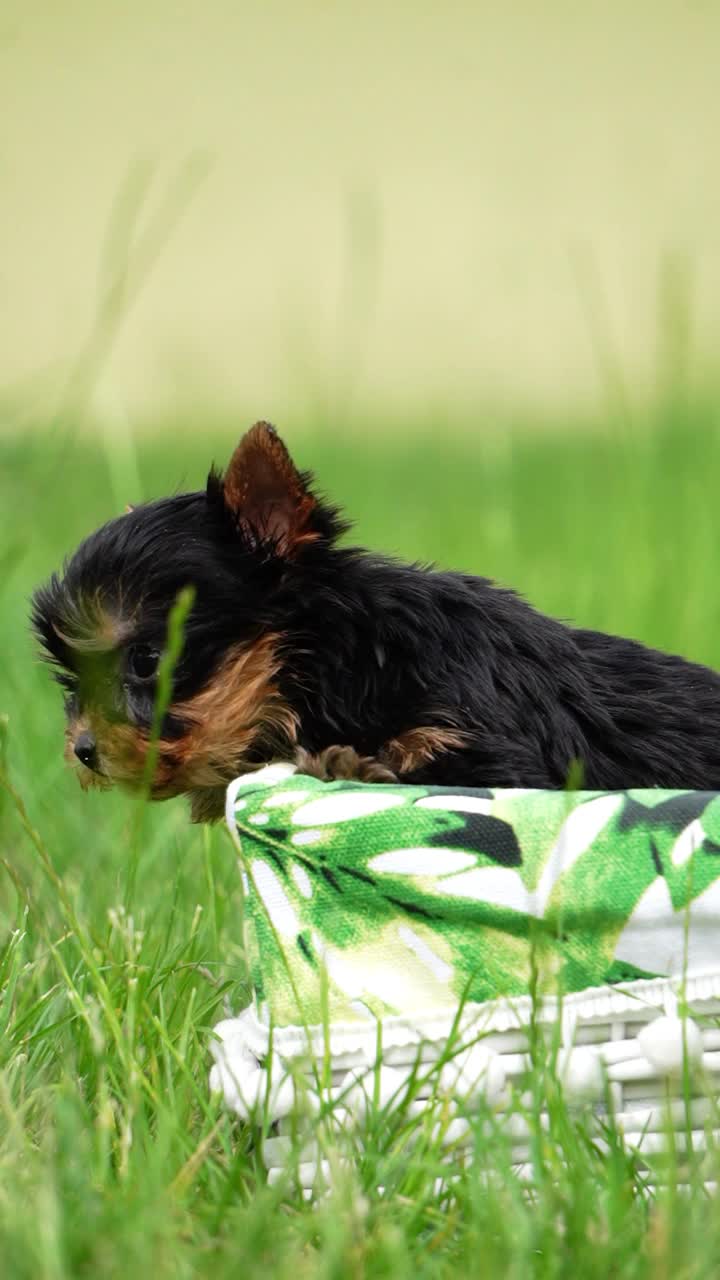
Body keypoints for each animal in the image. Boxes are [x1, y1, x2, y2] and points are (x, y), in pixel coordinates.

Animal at [32, 419, 720, 819]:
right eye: (71, 680)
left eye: (148, 661)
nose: (84, 750)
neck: (343, 665)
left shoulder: (501, 750)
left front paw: (344, 766)